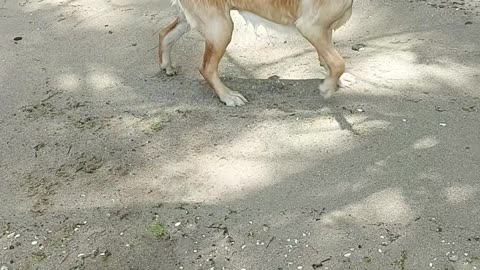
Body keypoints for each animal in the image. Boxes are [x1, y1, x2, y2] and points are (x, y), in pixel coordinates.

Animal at [160, 0, 352, 106]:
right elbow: (338, 62)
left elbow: (328, 60)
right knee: (207, 68)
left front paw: (336, 80)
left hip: (195, 20)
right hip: (220, 26)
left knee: (165, 33)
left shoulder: (323, 30)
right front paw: (327, 88)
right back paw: (227, 96)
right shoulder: (311, 27)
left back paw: (166, 65)